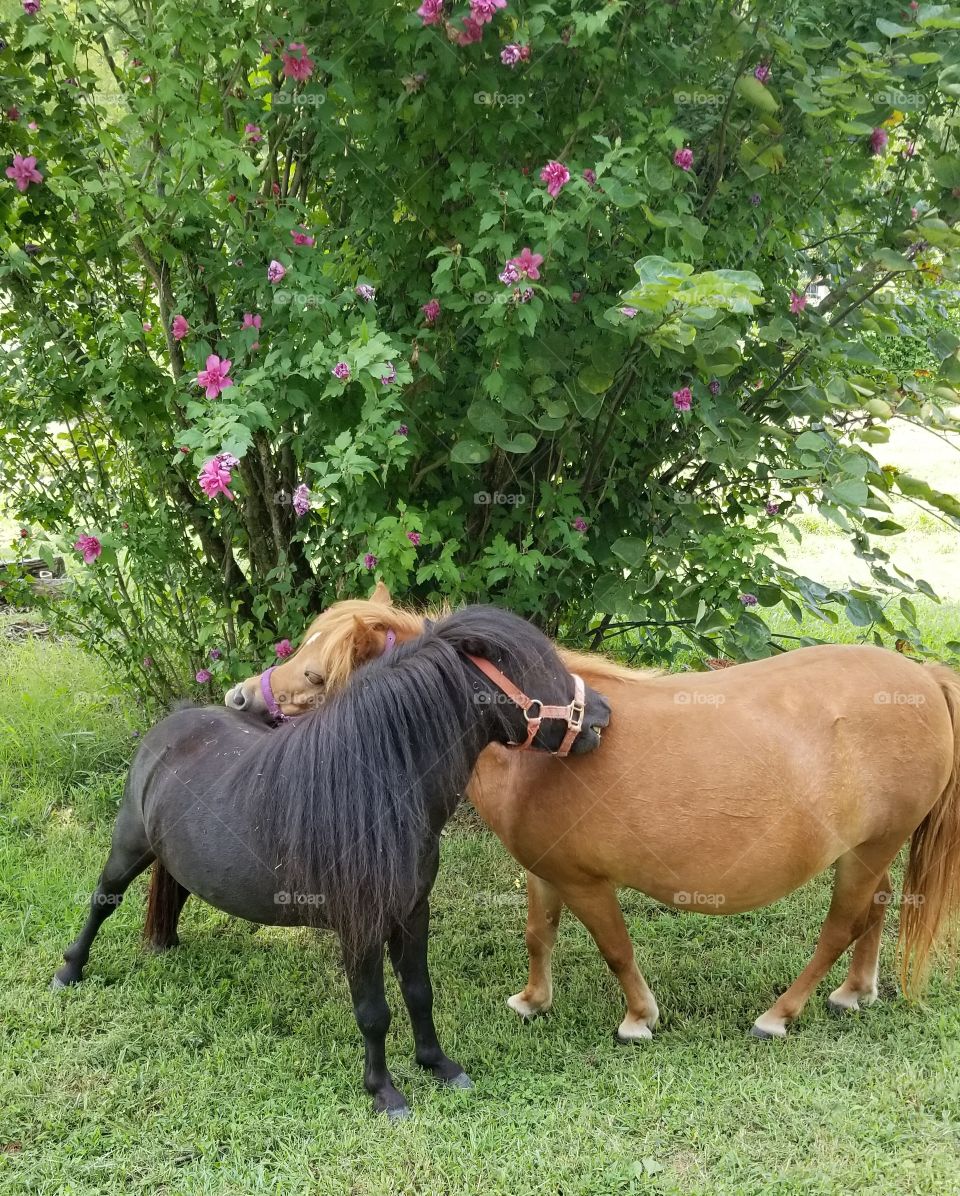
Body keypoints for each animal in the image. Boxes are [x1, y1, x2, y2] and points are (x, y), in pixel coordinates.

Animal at [52, 606, 611, 1118]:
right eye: (537, 668)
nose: (602, 714)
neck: (378, 791)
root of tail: (176, 719)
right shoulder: (359, 927)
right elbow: (373, 1013)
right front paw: (385, 1093)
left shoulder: (413, 912)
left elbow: (419, 992)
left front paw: (438, 1065)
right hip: (128, 845)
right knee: (103, 901)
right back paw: (70, 970)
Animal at [226, 585, 960, 1042]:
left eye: (316, 675)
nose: (237, 699)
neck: (540, 741)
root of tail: (922, 677)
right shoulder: (544, 871)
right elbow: (538, 935)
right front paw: (532, 1001)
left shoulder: (586, 882)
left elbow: (614, 946)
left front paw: (638, 1017)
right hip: (868, 850)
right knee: (874, 912)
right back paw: (854, 991)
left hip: (869, 849)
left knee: (840, 926)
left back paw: (781, 1013)